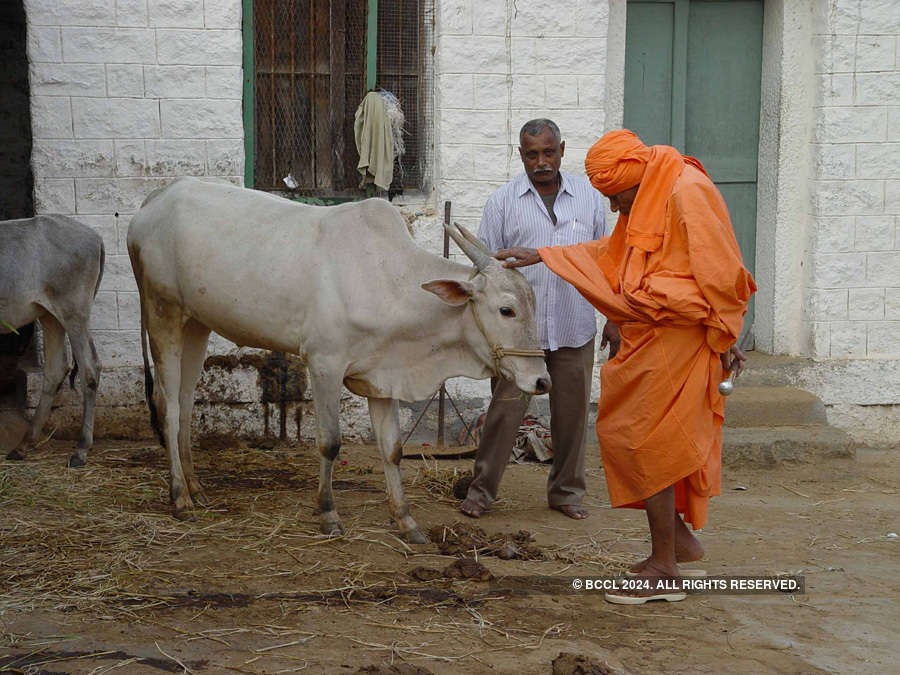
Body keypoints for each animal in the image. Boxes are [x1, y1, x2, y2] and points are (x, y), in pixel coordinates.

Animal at [125, 176, 548, 544]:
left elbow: (392, 449)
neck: (388, 280)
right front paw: (328, 513)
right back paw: (180, 496)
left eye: (533, 305)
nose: (541, 380)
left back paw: (196, 487)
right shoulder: (323, 364)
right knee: (168, 406)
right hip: (162, 312)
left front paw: (406, 520)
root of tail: (156, 199)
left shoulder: (383, 378)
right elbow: (330, 443)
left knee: (184, 401)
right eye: (506, 310)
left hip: (196, 323)